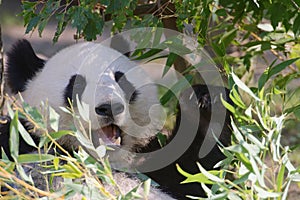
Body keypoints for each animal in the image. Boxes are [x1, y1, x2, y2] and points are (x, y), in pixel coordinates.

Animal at [0, 38, 232, 198]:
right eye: (76, 85)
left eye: (120, 79)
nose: (109, 107)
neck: (103, 162)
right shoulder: (23, 146)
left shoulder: (150, 162)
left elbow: (198, 175)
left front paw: (205, 101)